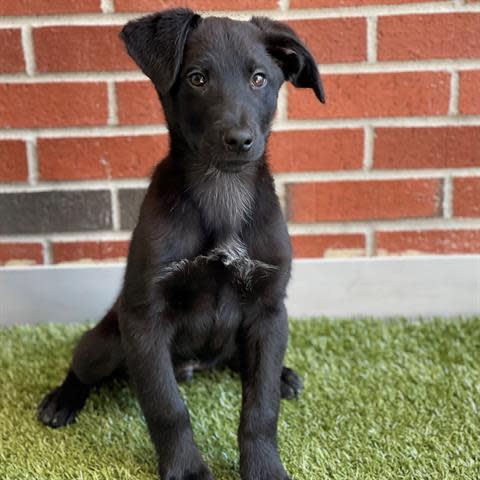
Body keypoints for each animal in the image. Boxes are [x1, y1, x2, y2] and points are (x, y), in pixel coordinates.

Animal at [38, 8, 322, 480]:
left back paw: (282, 375)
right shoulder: (144, 319)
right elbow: (166, 406)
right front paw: (187, 469)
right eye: (197, 79)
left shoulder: (269, 309)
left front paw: (263, 465)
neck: (221, 189)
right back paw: (62, 399)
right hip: (107, 341)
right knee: (84, 365)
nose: (239, 140)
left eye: (259, 78)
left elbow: (260, 406)